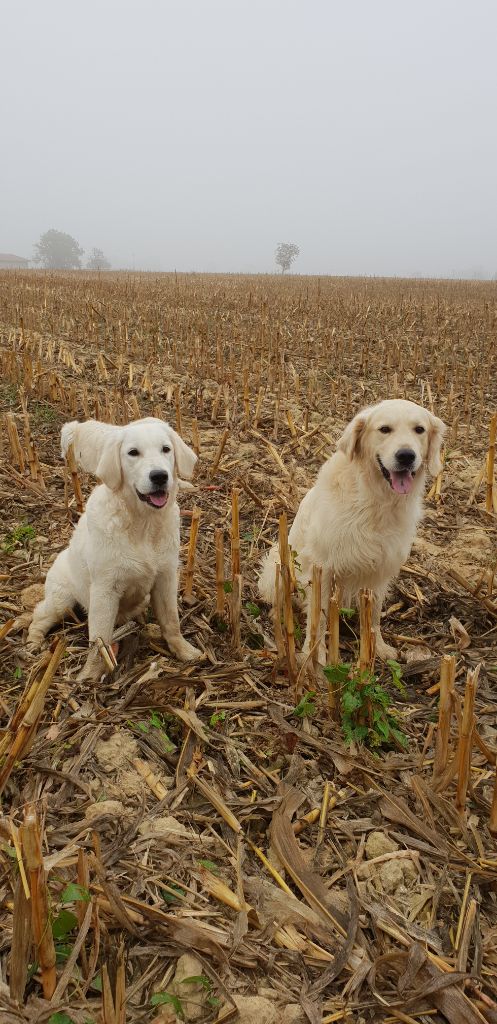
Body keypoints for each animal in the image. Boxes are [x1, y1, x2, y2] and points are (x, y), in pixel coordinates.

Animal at [26, 415, 201, 679]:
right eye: (133, 452)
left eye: (166, 449)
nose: (159, 476)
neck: (142, 524)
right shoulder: (104, 589)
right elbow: (100, 640)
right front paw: (89, 676)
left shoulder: (166, 578)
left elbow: (171, 620)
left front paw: (184, 651)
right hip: (61, 600)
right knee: (39, 616)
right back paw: (34, 644)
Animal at [257, 395, 442, 659]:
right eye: (385, 429)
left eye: (419, 429)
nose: (406, 456)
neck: (376, 501)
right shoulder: (322, 568)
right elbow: (318, 618)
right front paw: (315, 656)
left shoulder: (380, 571)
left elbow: (373, 615)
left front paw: (378, 647)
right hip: (279, 563)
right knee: (279, 598)